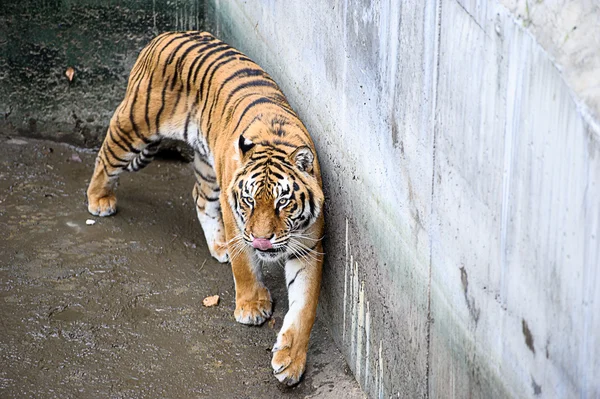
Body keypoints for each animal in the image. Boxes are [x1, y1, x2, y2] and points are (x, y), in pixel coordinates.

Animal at [85, 29, 324, 386]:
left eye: (283, 202)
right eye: (250, 201)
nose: (262, 241)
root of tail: (165, 34)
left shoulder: (307, 247)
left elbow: (304, 308)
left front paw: (291, 362)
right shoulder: (238, 220)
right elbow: (244, 266)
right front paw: (252, 307)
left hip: (207, 167)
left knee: (199, 196)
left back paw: (218, 245)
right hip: (134, 126)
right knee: (105, 156)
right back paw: (99, 200)